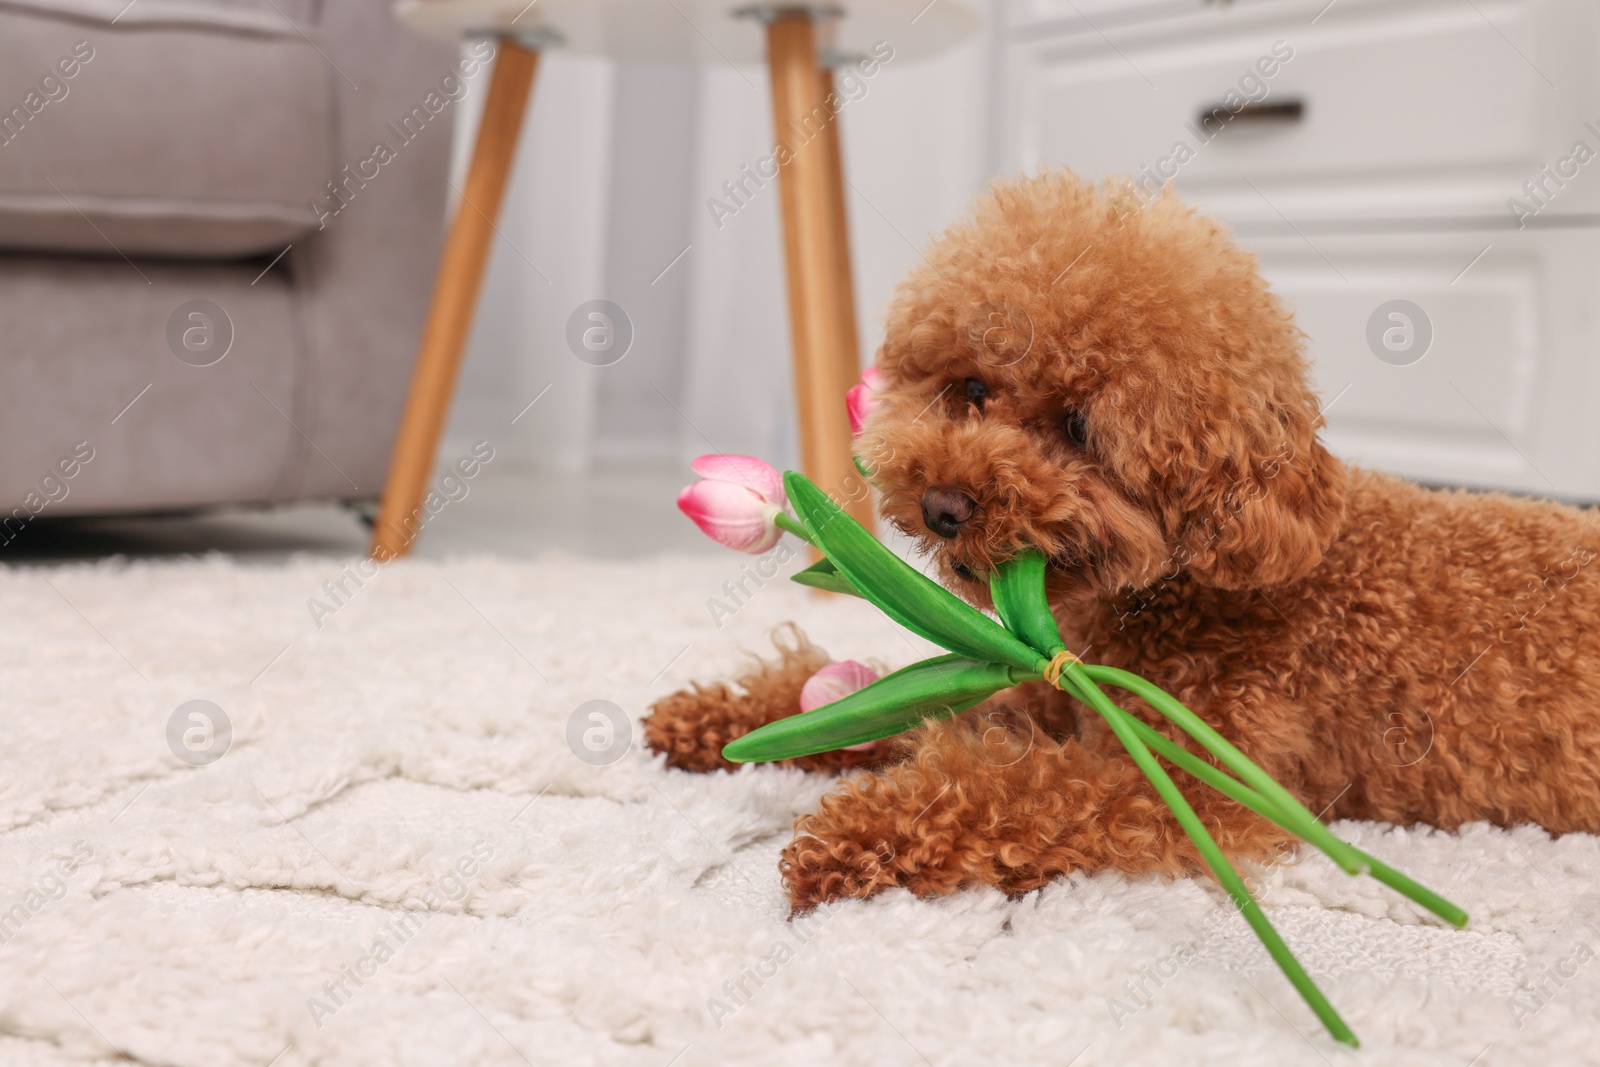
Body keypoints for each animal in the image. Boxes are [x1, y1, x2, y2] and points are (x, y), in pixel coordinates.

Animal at [640, 171, 1600, 915]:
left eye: (1079, 428)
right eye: (971, 389)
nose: (944, 503)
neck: (1192, 590)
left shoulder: (1180, 779)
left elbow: (1017, 788)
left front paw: (854, 829)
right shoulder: (1049, 687)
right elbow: (890, 699)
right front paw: (731, 717)